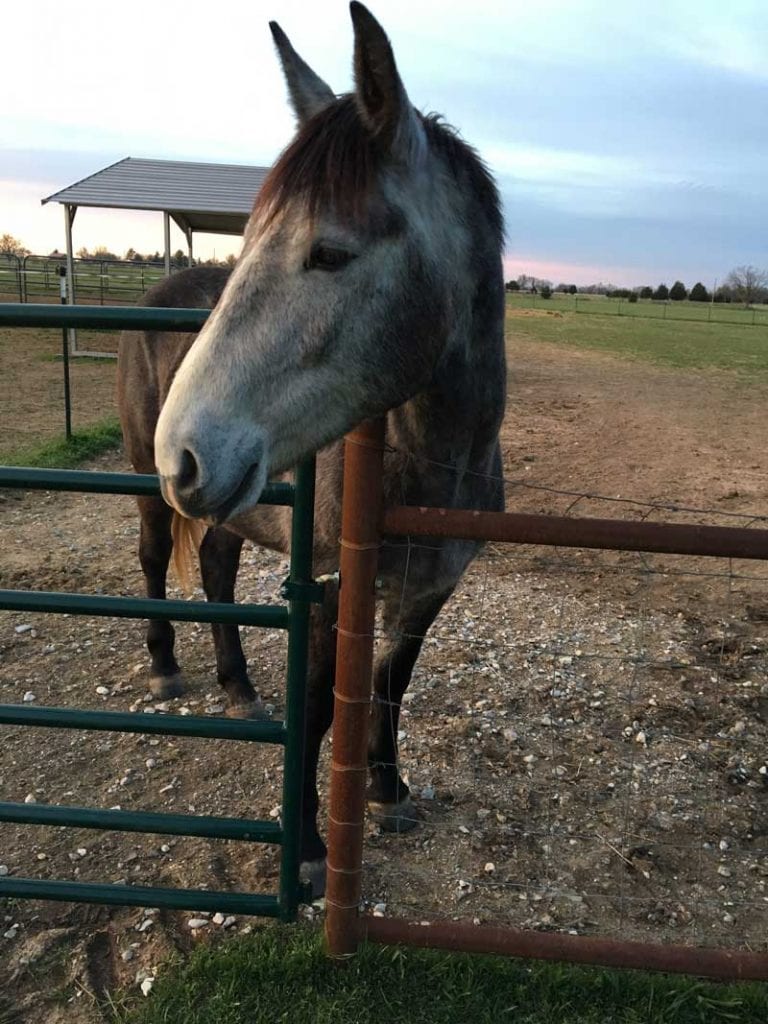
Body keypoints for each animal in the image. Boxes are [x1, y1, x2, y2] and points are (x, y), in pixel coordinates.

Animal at [126, 4, 507, 892]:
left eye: (330, 252)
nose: (184, 453)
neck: (433, 465)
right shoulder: (335, 589)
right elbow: (321, 705)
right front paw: (305, 845)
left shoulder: (429, 591)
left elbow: (391, 683)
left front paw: (388, 790)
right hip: (146, 483)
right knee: (156, 559)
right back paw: (165, 666)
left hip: (232, 508)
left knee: (217, 572)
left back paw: (237, 685)